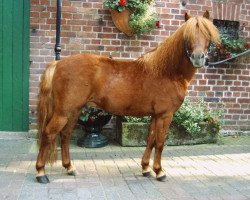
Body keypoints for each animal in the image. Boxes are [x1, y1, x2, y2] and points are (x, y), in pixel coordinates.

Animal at [35, 10, 219, 183]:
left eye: (208, 34)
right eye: (187, 36)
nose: (198, 58)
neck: (167, 72)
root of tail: (58, 63)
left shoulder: (155, 115)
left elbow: (150, 140)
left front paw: (146, 169)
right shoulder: (165, 115)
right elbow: (160, 143)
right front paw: (159, 171)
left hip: (74, 111)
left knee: (65, 135)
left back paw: (69, 167)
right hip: (64, 112)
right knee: (49, 133)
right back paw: (41, 172)